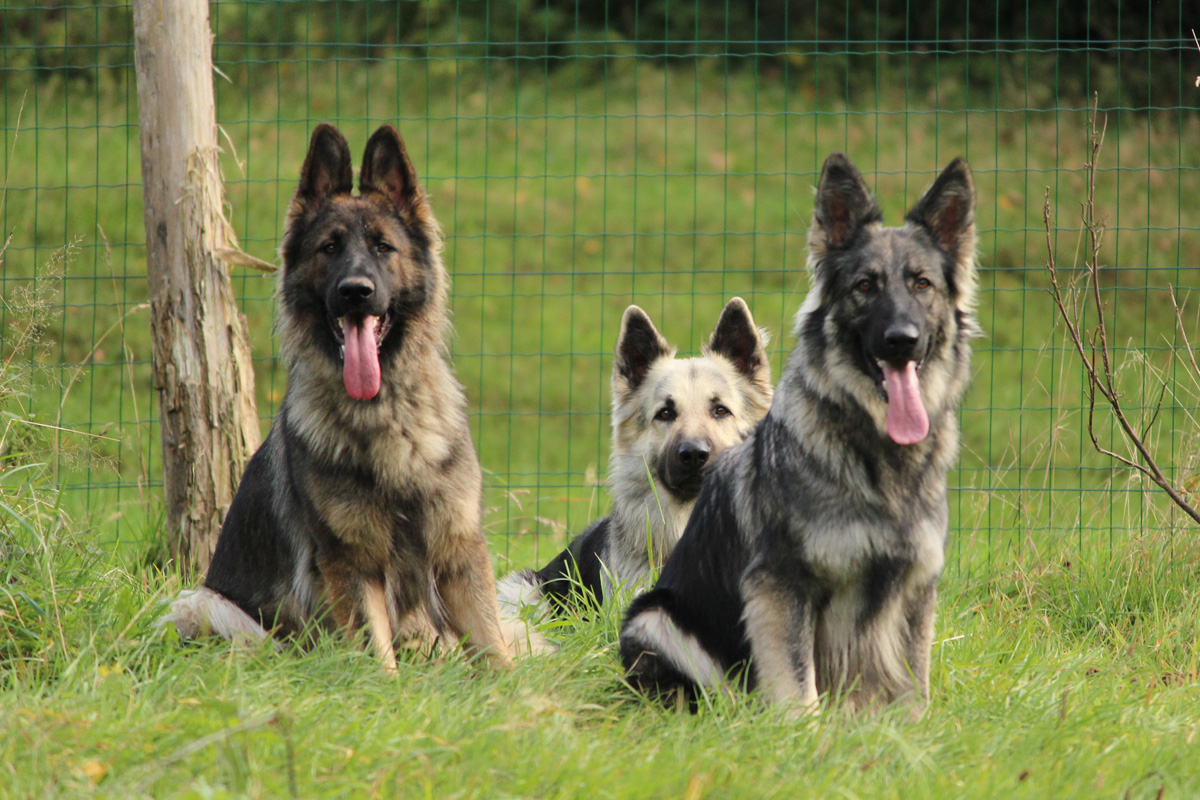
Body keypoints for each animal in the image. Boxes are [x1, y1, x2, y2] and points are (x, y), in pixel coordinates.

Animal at [161, 123, 511, 672]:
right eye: (329, 248)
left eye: (384, 247)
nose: (355, 291)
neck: (388, 416)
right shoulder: (351, 562)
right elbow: (377, 653)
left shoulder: (458, 551)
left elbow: (495, 648)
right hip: (208, 606)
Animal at [619, 153, 978, 714]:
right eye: (865, 286)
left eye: (923, 284)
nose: (902, 340)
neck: (875, 457)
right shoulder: (780, 587)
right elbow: (796, 687)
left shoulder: (915, 590)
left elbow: (913, 689)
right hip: (654, 616)